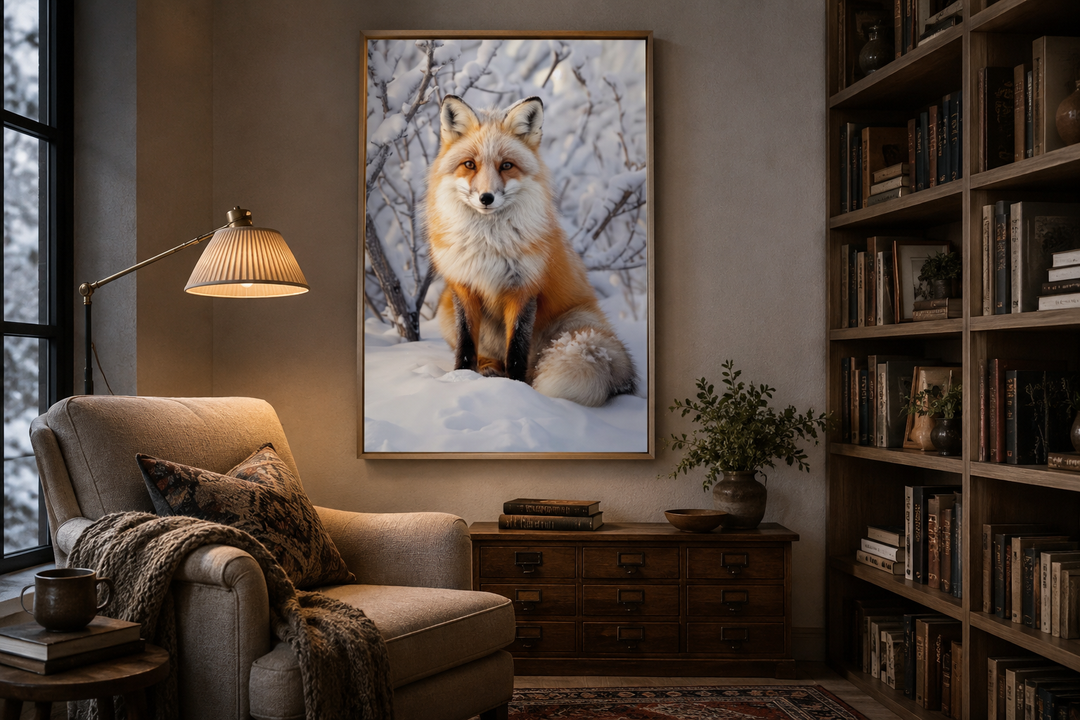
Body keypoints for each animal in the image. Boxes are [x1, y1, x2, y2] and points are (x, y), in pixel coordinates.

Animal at [425, 94, 637, 407]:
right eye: (469, 164)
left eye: (506, 165)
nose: (486, 197)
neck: (488, 242)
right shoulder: (464, 287)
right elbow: (465, 346)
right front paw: (460, 378)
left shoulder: (523, 289)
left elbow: (516, 350)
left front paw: (517, 390)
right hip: (444, 309)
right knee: (487, 354)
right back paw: (487, 367)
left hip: (571, 326)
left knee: (530, 361)